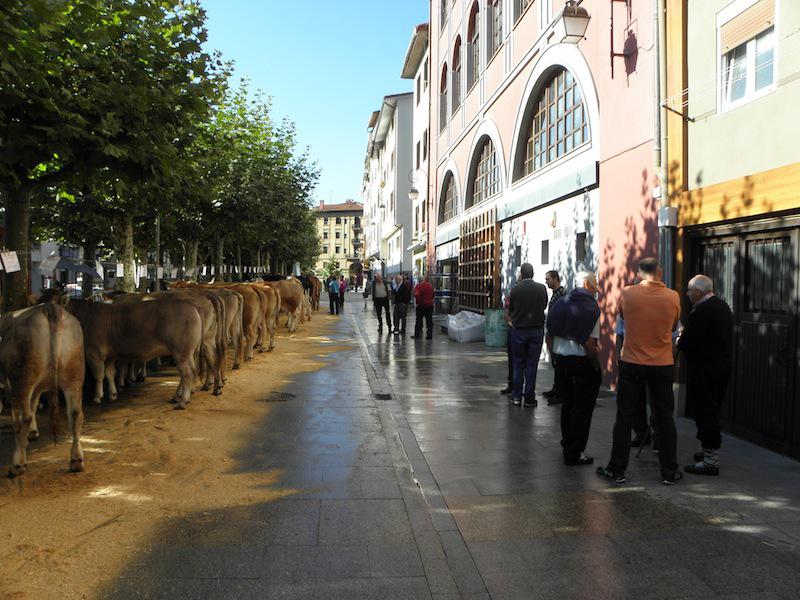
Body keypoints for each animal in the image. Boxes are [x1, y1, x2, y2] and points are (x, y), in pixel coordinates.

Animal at [0, 296, 85, 478]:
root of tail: (48, 307)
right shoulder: (38, 387)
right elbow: (33, 405)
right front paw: (33, 432)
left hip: (22, 378)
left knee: (22, 417)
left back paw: (17, 464)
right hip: (74, 374)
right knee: (75, 413)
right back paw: (76, 460)